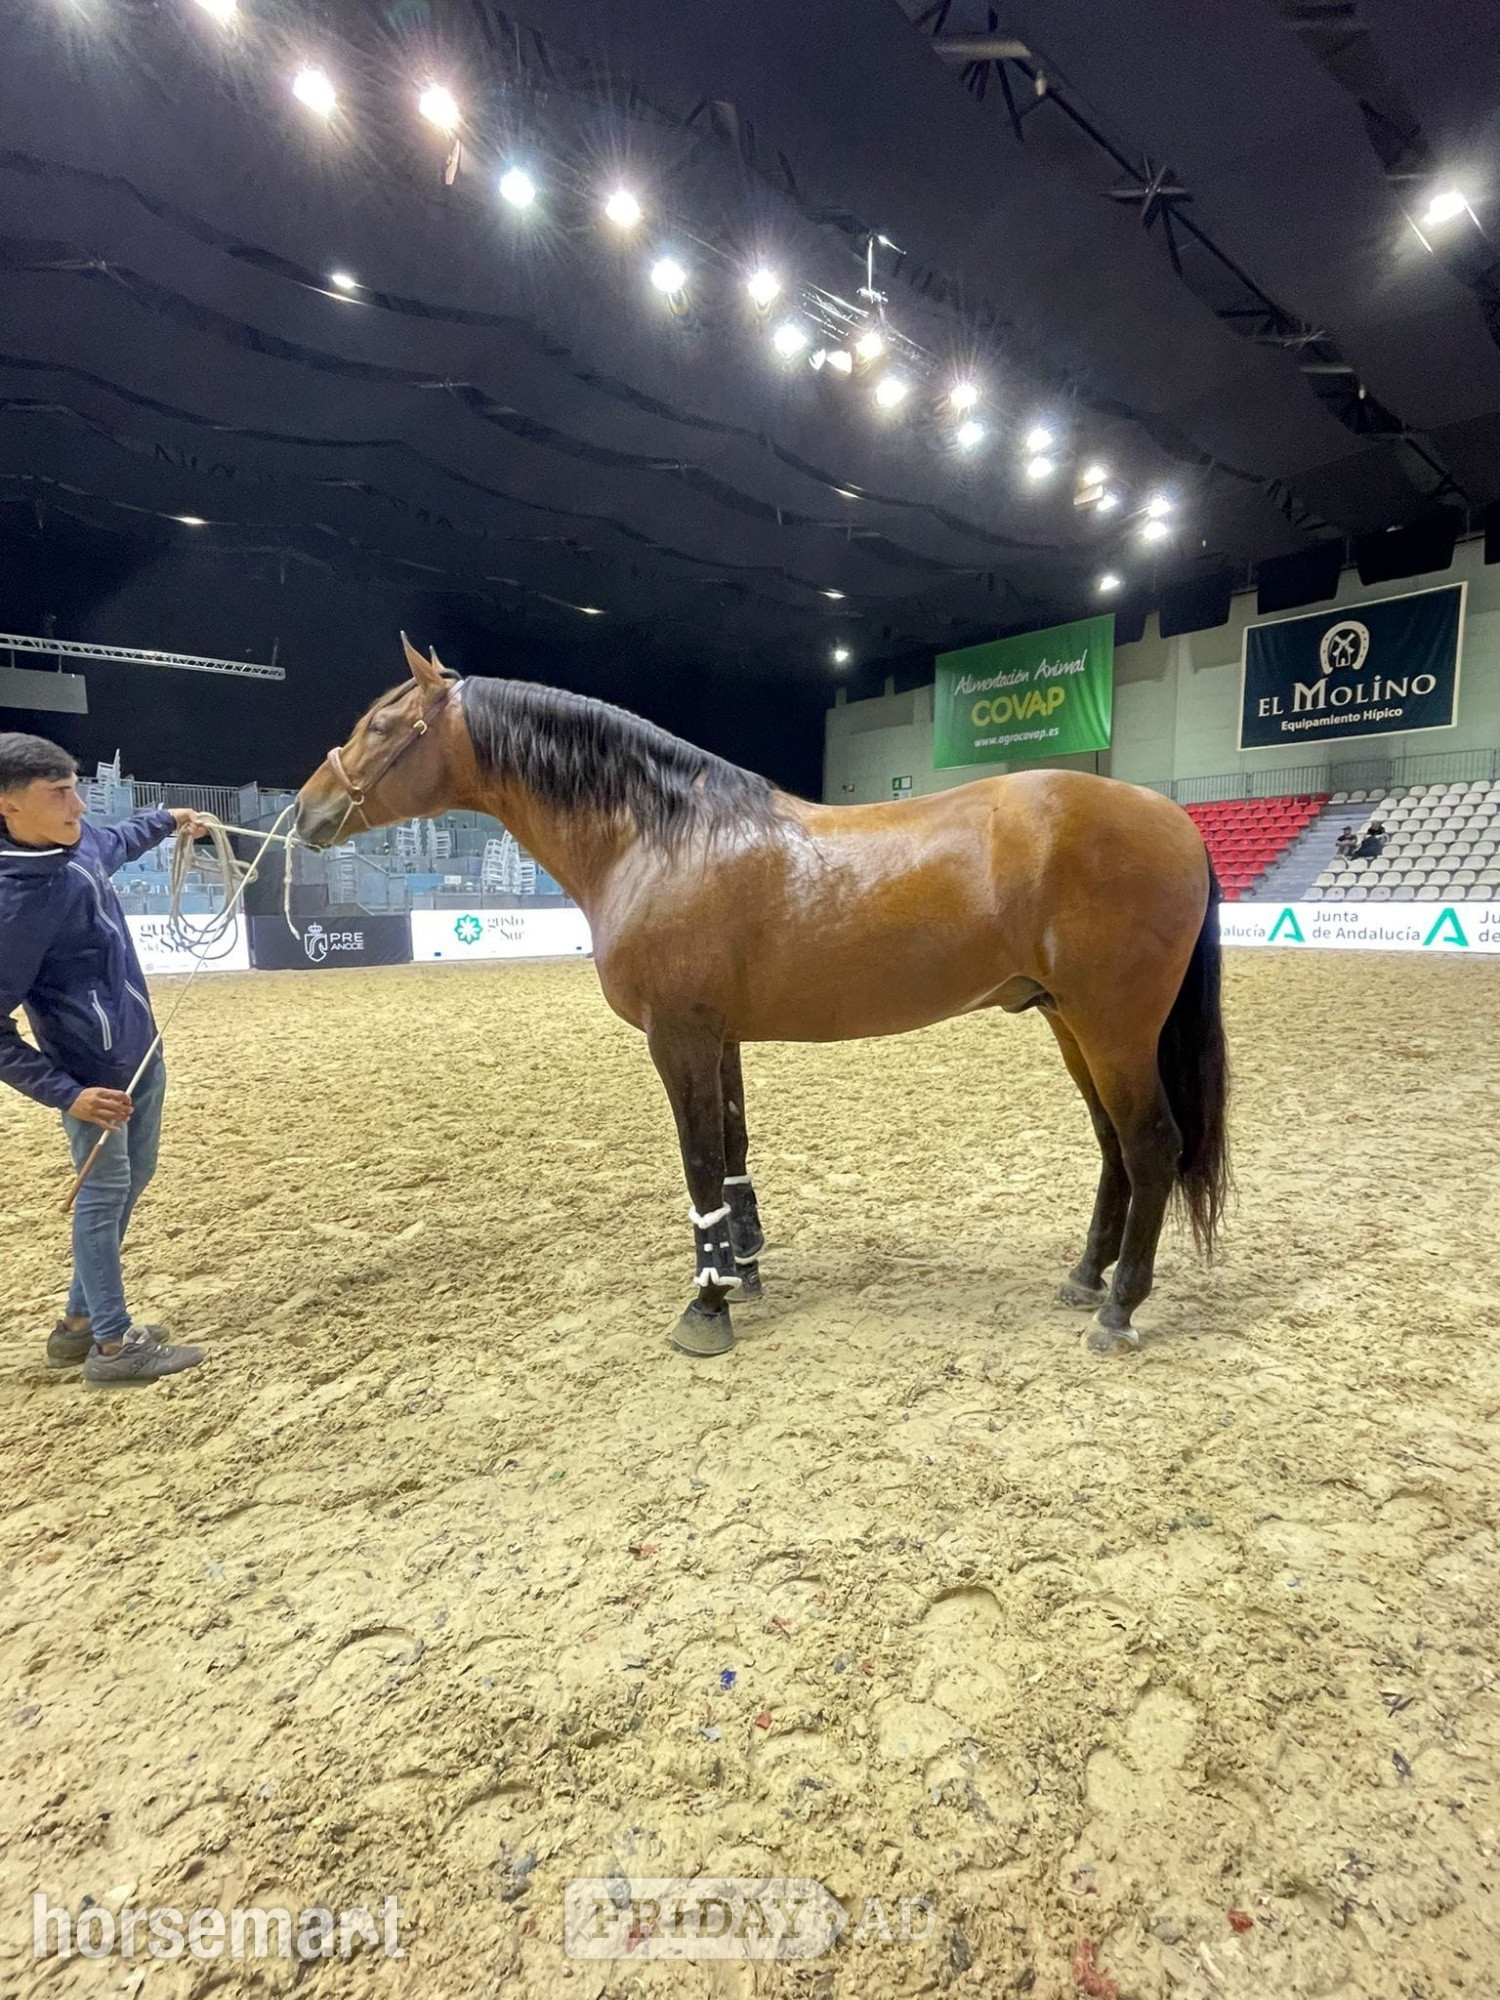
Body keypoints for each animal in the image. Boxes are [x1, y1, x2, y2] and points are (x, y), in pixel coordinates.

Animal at [293, 635, 1229, 1359]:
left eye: (382, 726)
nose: (307, 809)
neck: (663, 836)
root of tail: (1175, 821)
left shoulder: (676, 1037)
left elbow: (701, 1161)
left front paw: (705, 1307)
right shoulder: (720, 1037)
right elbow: (734, 1151)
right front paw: (741, 1269)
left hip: (1113, 1027)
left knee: (1151, 1146)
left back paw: (1119, 1308)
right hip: (1071, 1023)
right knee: (1113, 1147)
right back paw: (1084, 1277)